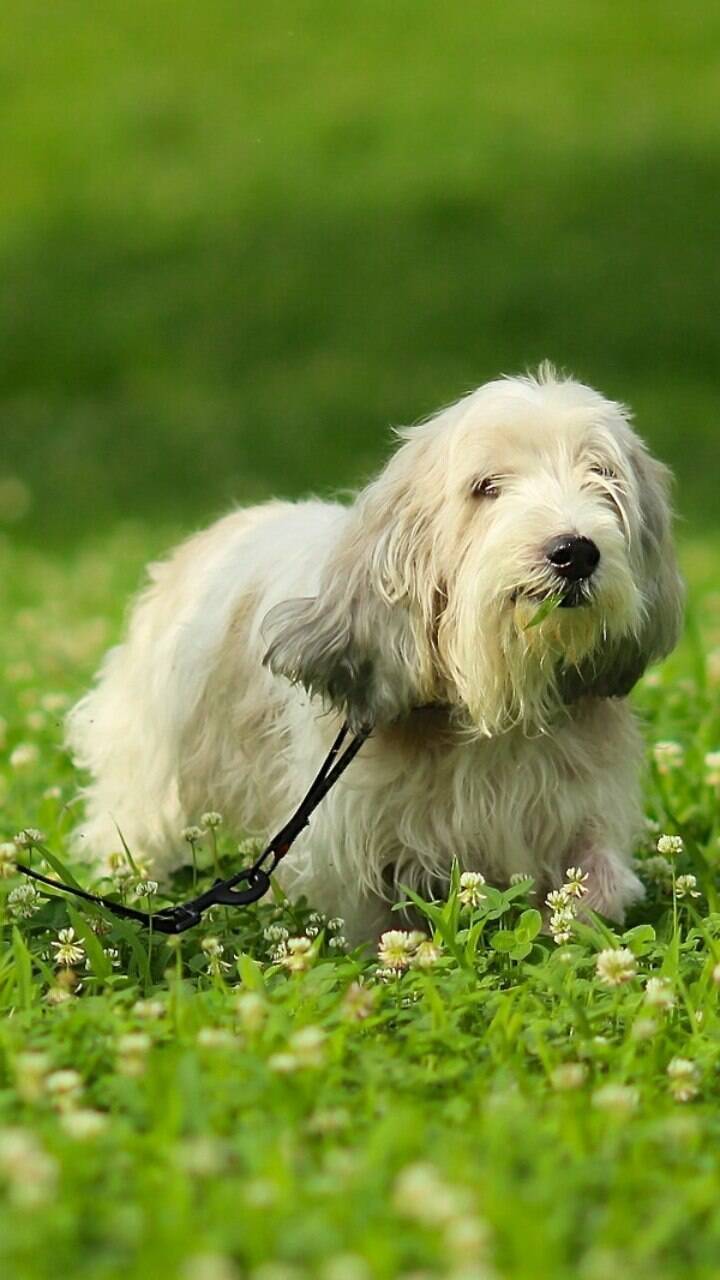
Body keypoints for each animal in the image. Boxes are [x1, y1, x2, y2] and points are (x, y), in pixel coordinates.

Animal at [65, 366, 676, 947]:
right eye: (486, 488)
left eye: (603, 478)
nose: (575, 552)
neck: (491, 706)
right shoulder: (352, 836)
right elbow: (374, 923)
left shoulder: (578, 807)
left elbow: (593, 880)